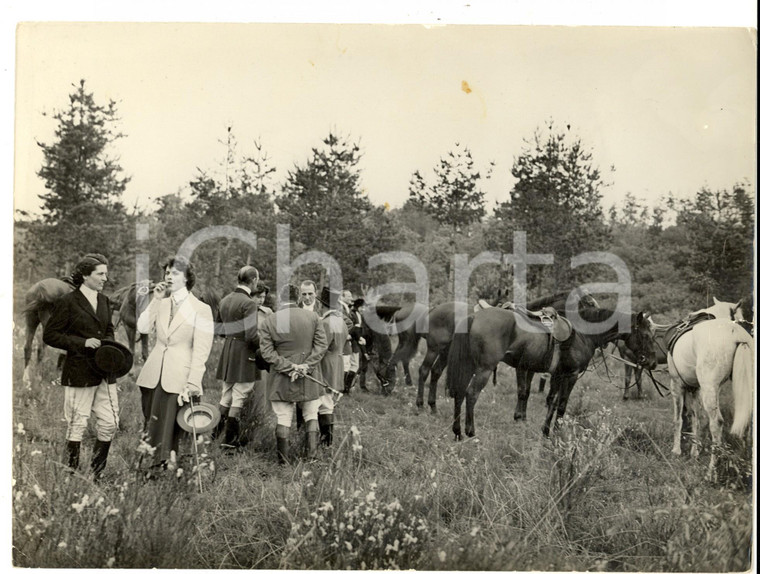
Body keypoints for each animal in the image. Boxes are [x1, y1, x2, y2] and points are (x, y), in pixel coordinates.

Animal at [448, 308, 656, 444]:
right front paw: (554, 430)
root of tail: (474, 316)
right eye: (646, 335)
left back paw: (457, 432)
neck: (583, 335)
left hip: (469, 366)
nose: (652, 362)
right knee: (471, 394)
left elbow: (551, 401)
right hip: (484, 368)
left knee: (459, 394)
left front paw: (547, 430)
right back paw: (470, 431)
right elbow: (561, 403)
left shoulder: (557, 375)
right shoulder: (570, 375)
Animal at [668, 320, 752, 482]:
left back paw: (711, 473)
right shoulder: (695, 390)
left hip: (709, 388)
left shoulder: (677, 386)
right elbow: (696, 420)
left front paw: (676, 451)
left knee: (716, 424)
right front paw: (694, 453)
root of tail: (736, 331)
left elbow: (678, 420)